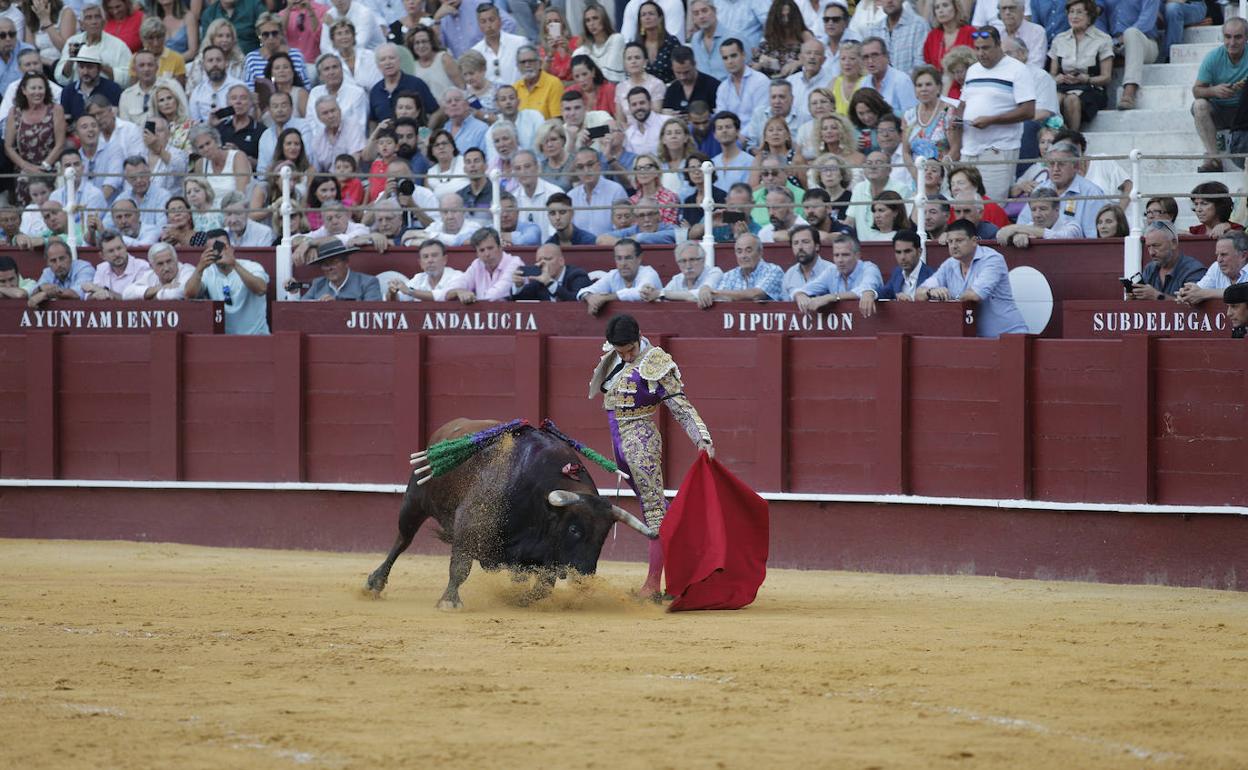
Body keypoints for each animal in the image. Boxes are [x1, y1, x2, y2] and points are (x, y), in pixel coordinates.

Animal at [364, 416, 653, 609]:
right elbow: (460, 567)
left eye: (604, 535)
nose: (585, 576)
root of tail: (445, 429)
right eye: (574, 529)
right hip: (414, 499)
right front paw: (449, 601)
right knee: (403, 540)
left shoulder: (544, 554)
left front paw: (520, 599)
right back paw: (374, 583)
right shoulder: (469, 525)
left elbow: (542, 587)